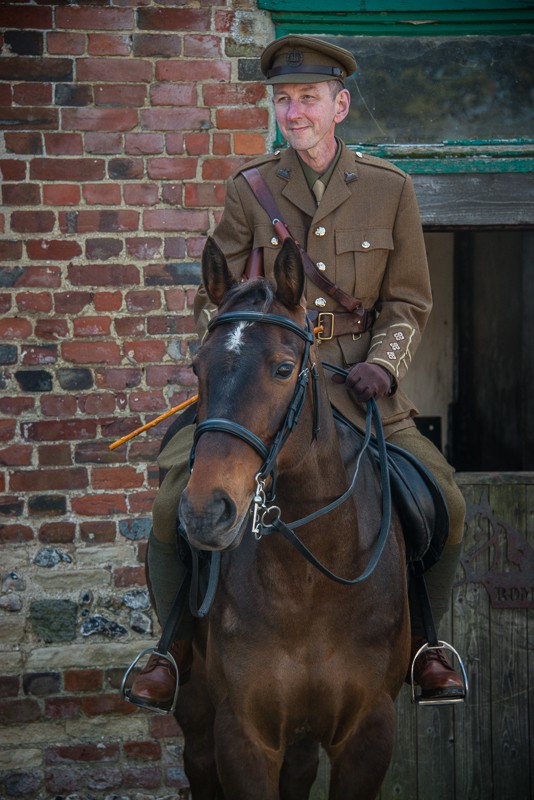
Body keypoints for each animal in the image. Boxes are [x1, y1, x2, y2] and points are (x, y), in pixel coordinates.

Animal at [176, 238, 410, 800]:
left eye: (284, 369)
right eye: (196, 368)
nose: (204, 512)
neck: (310, 582)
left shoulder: (370, 730)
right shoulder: (242, 734)